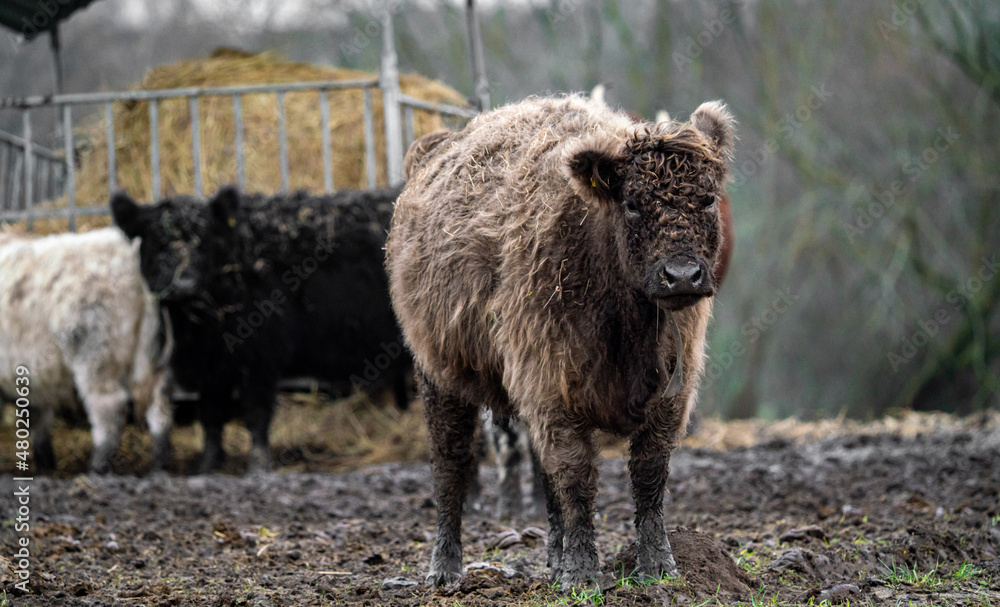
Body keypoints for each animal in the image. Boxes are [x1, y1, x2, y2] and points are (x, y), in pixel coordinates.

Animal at [0, 228, 173, 474]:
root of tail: (127, 253)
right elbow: (38, 419)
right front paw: (45, 464)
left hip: (96, 358)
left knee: (110, 409)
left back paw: (97, 467)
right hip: (154, 357)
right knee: (159, 407)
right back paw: (161, 464)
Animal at [111, 186, 411, 472]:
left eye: (204, 239)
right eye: (156, 241)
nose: (183, 283)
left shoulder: (259, 355)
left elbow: (256, 413)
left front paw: (257, 465)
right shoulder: (210, 368)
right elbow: (210, 416)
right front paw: (207, 465)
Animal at [386, 94, 735, 587]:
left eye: (706, 199)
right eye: (632, 203)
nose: (682, 275)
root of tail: (433, 149)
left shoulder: (670, 394)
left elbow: (648, 475)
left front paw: (657, 567)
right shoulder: (552, 385)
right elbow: (576, 477)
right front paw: (584, 574)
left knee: (541, 474)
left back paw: (554, 561)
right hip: (440, 373)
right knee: (451, 464)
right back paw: (444, 569)